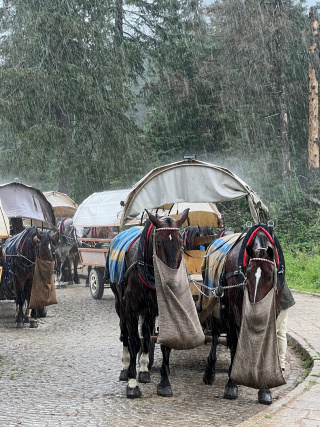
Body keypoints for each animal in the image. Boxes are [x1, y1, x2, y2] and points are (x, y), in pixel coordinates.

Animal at [106, 209, 189, 400]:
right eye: (158, 242)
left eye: (181, 243)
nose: (172, 281)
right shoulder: (131, 309)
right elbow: (134, 341)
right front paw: (132, 383)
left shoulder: (161, 308)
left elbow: (165, 343)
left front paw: (164, 383)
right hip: (119, 304)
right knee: (125, 334)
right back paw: (125, 367)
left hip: (149, 310)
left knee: (146, 331)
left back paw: (144, 369)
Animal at [202, 226, 284, 406]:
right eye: (247, 276)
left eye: (270, 276)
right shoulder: (234, 311)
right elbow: (234, 342)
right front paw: (231, 384)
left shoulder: (273, 307)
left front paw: (264, 389)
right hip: (216, 306)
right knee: (216, 334)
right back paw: (210, 371)